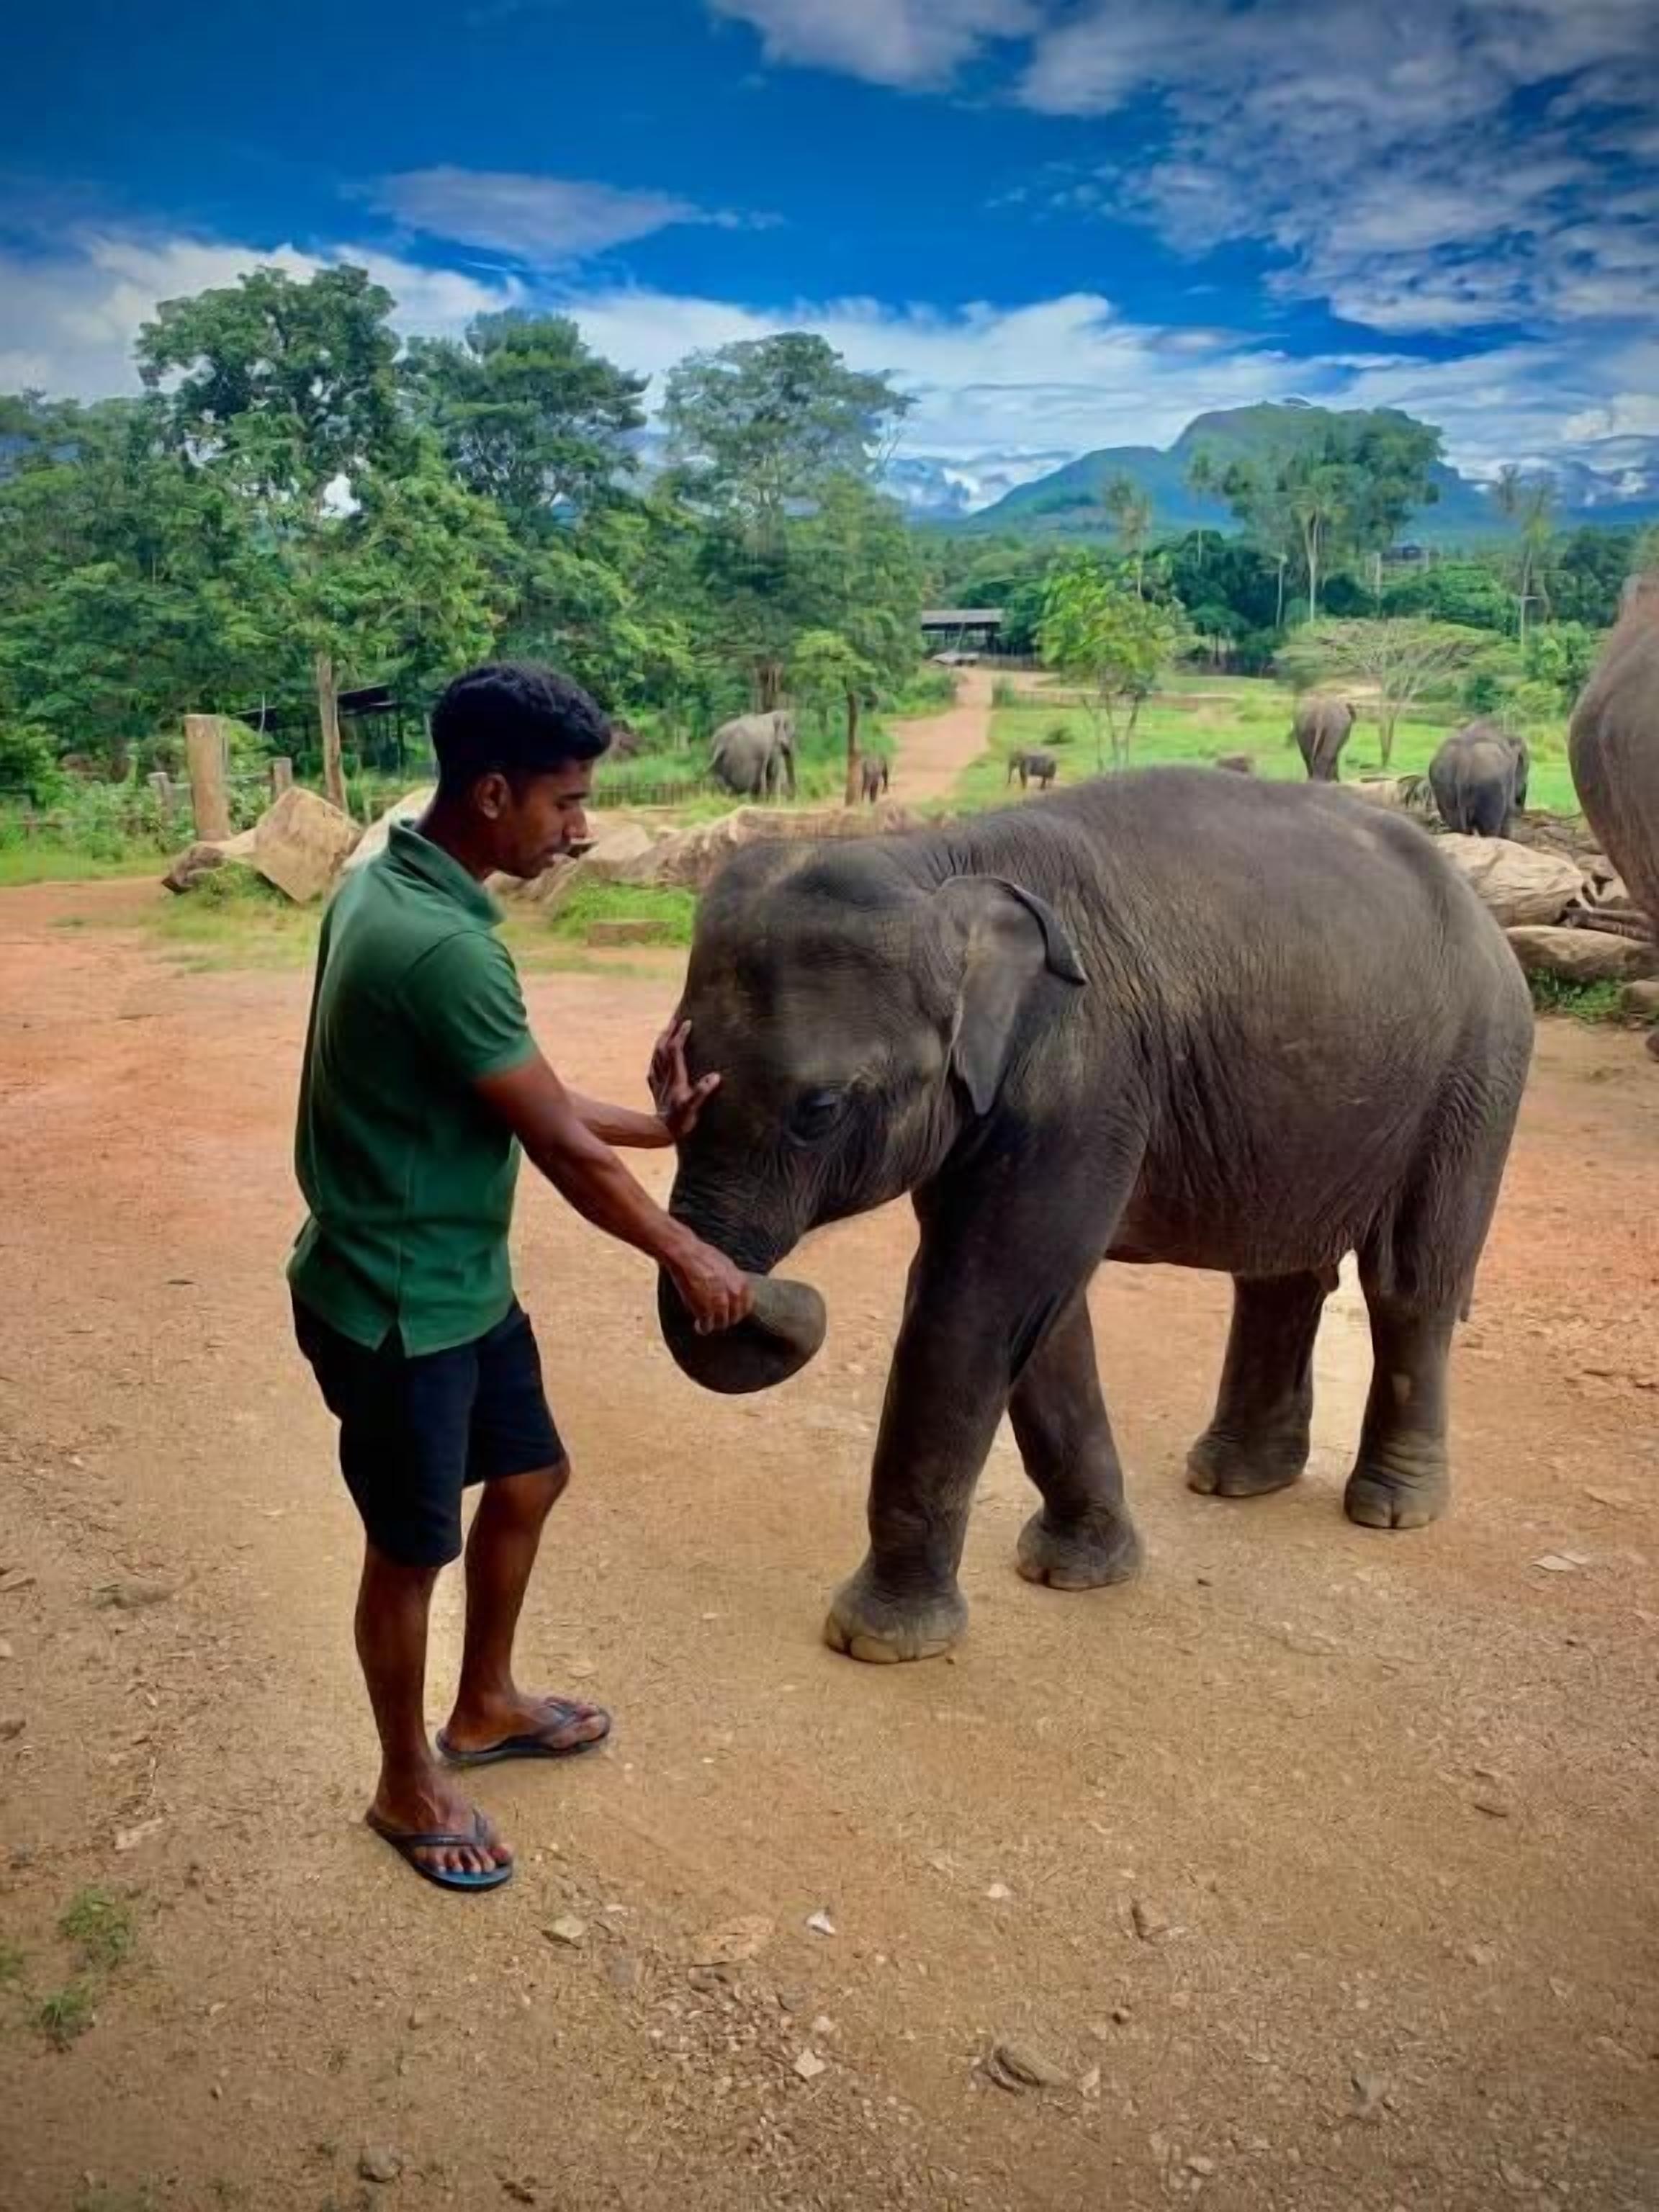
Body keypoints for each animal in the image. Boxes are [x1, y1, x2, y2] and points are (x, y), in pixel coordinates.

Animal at [657, 770, 1534, 1665]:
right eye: (662, 1078)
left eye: (820, 1111)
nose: (768, 1296)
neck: (940, 862)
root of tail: (1481, 910)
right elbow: (1042, 1315)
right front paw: (1076, 1570)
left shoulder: (1084, 1074)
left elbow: (983, 1299)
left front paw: (879, 1641)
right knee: (1279, 1276)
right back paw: (1236, 1478)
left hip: (1476, 1075)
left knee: (1411, 1281)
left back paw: (1392, 1508)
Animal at [1428, 722, 1530, 837]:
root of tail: (1464, 760)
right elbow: (1508, 811)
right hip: (1489, 784)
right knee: (1489, 828)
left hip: (1443, 783)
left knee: (1455, 823)